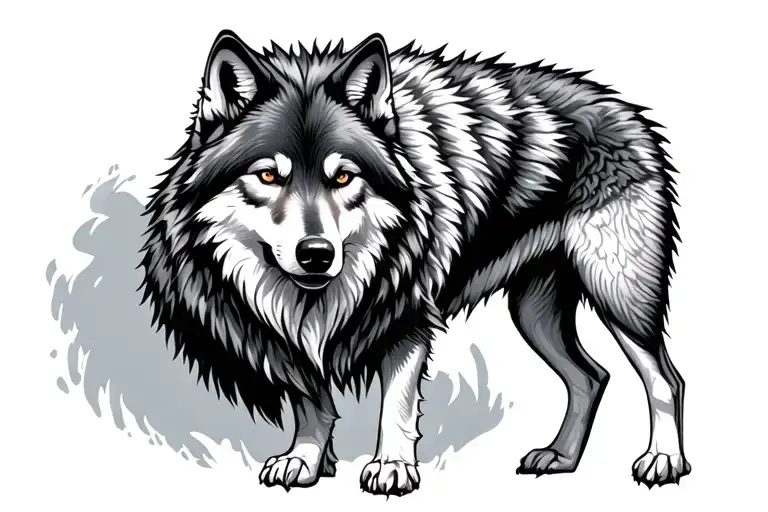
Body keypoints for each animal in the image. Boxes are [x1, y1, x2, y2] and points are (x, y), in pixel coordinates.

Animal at [140, 29, 690, 495]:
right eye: (269, 176)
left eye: (344, 177)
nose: (316, 255)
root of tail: (625, 109)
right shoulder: (289, 335)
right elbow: (311, 401)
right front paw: (306, 460)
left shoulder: (406, 317)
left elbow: (397, 406)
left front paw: (391, 467)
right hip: (534, 314)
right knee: (591, 377)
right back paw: (561, 457)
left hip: (617, 294)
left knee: (665, 379)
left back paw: (663, 461)